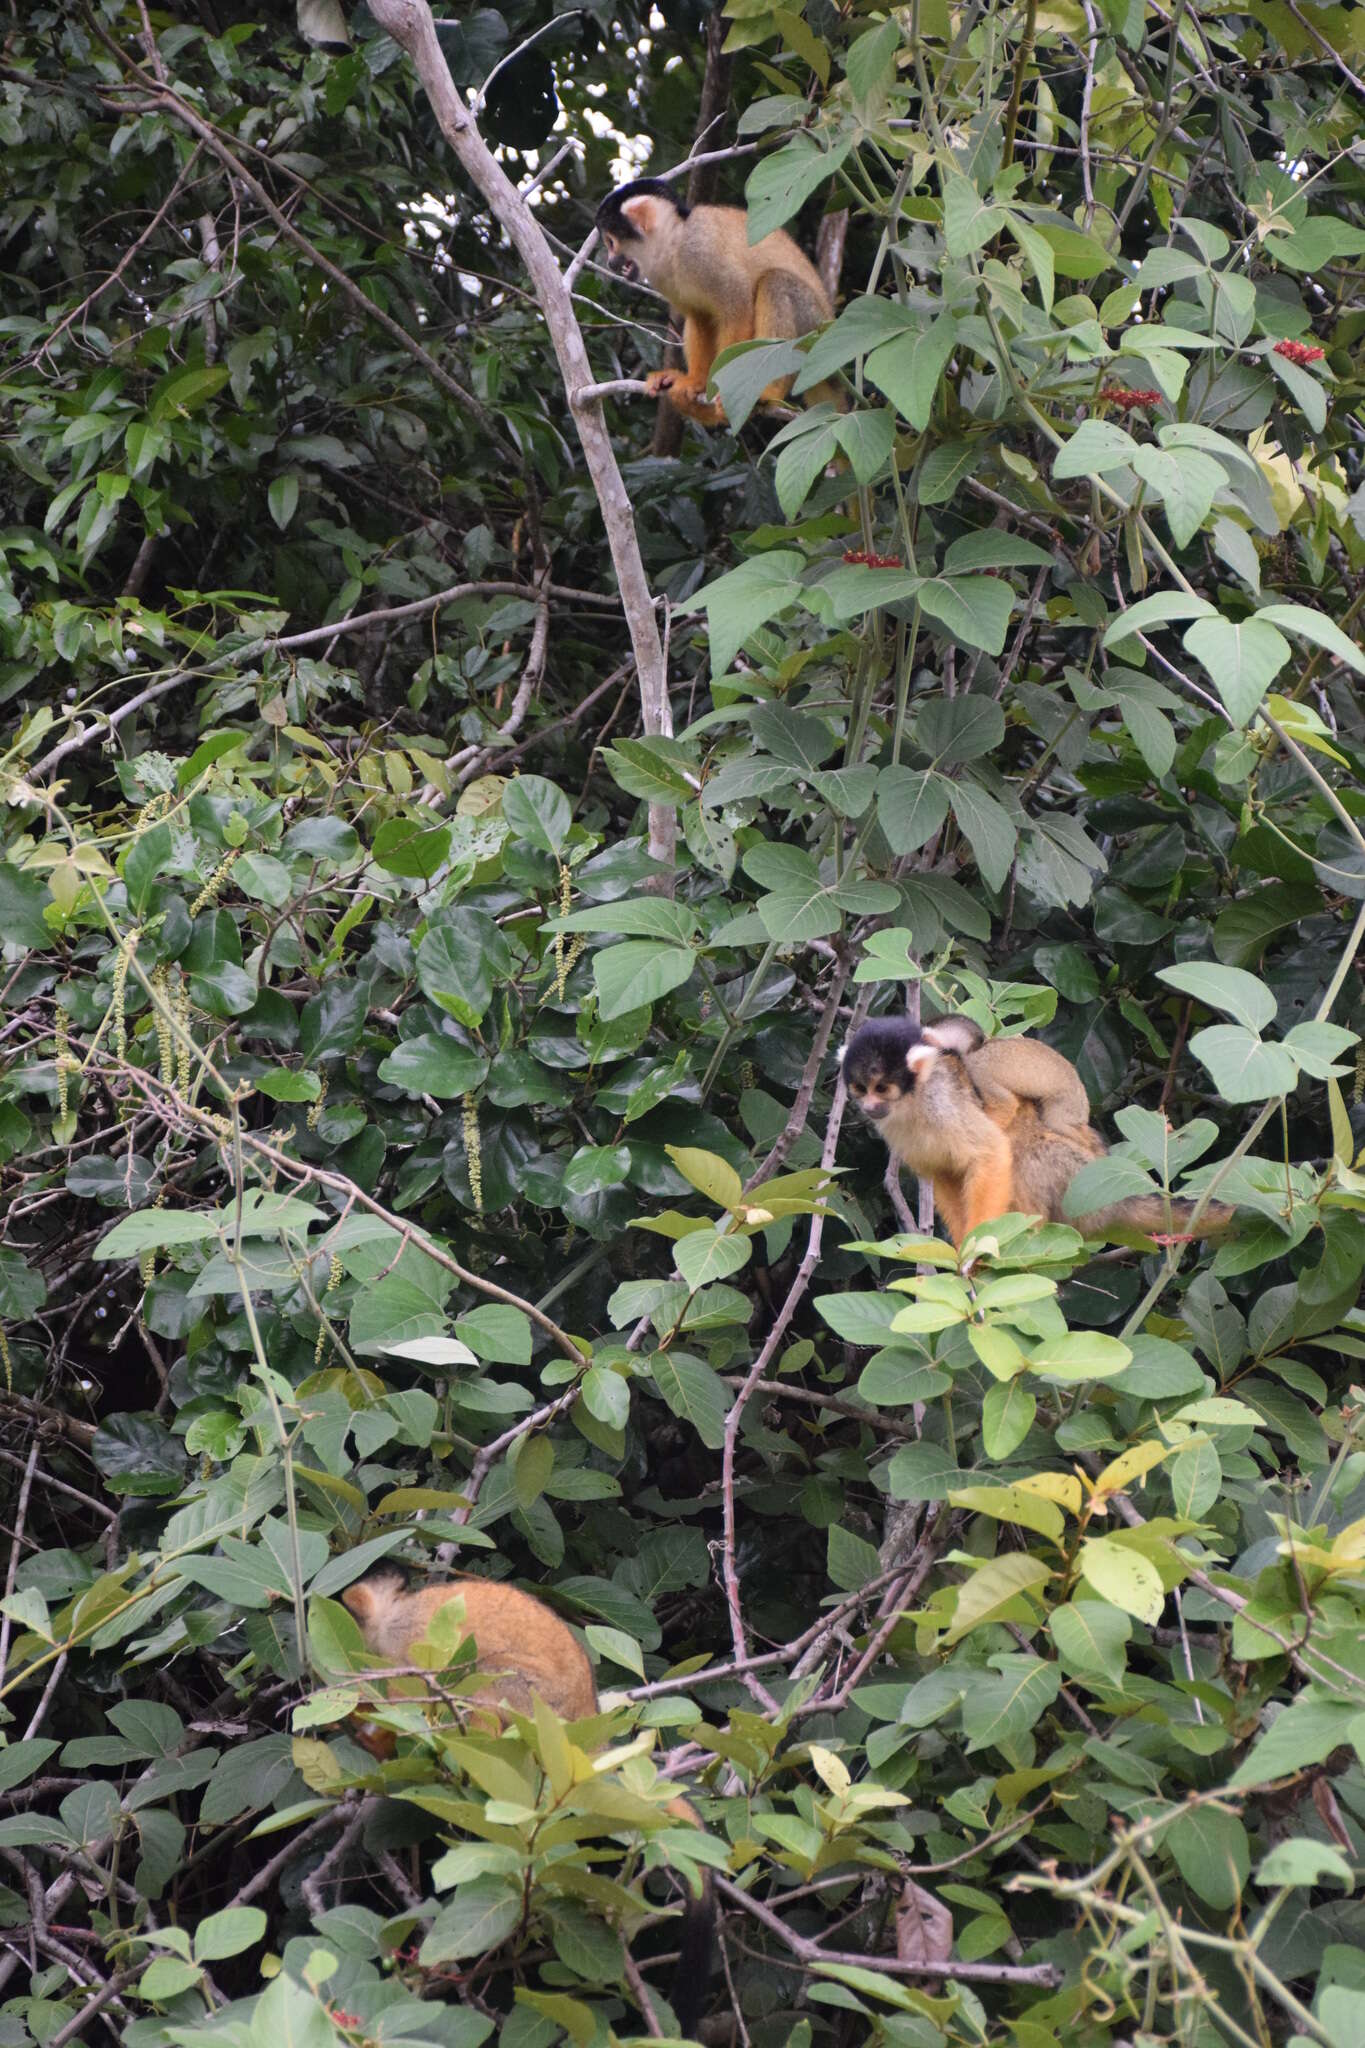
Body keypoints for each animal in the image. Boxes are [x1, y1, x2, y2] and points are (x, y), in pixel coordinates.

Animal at [601, 178, 843, 425]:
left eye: (610, 242)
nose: (610, 263)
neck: (673, 245)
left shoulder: (700, 251)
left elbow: (737, 308)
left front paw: (722, 388)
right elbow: (701, 317)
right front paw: (696, 382)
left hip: (813, 327)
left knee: (777, 282)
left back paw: (768, 393)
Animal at [843, 1011, 1236, 1245]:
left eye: (882, 1088)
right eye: (861, 1089)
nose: (870, 1107)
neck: (913, 1101)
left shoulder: (953, 1096)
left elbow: (992, 1145)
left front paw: (974, 1251)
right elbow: (944, 1173)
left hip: (1071, 1158)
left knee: (1029, 1148)